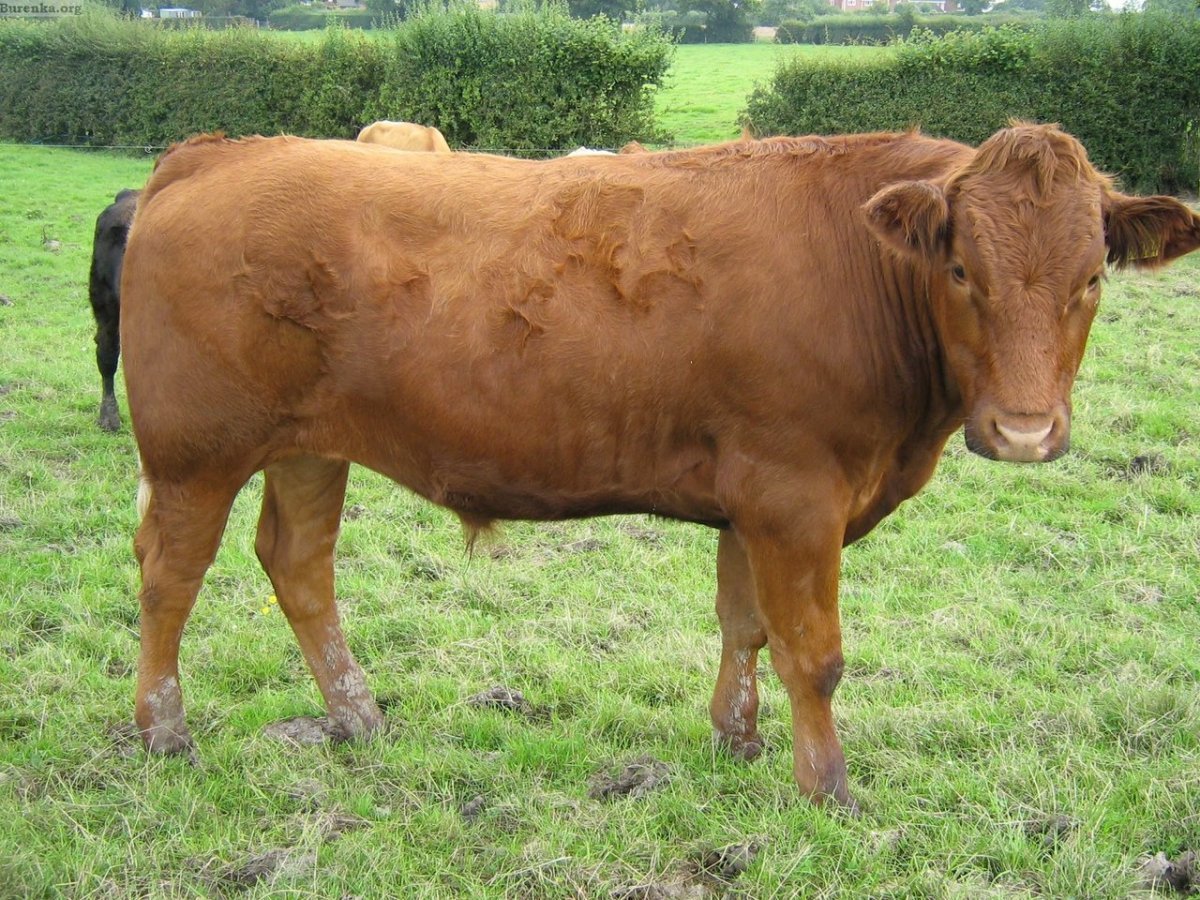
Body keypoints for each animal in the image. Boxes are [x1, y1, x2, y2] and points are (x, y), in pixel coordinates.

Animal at [120, 125, 1200, 809]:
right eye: (964, 270)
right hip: (194, 453)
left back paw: (359, 717)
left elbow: (747, 625)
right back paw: (164, 731)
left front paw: (738, 740)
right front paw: (828, 788)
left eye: (1090, 279)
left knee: (299, 563)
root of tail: (224, 150)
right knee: (172, 574)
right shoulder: (795, 494)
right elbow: (815, 651)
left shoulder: (754, 498)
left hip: (308, 445)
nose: (1024, 430)